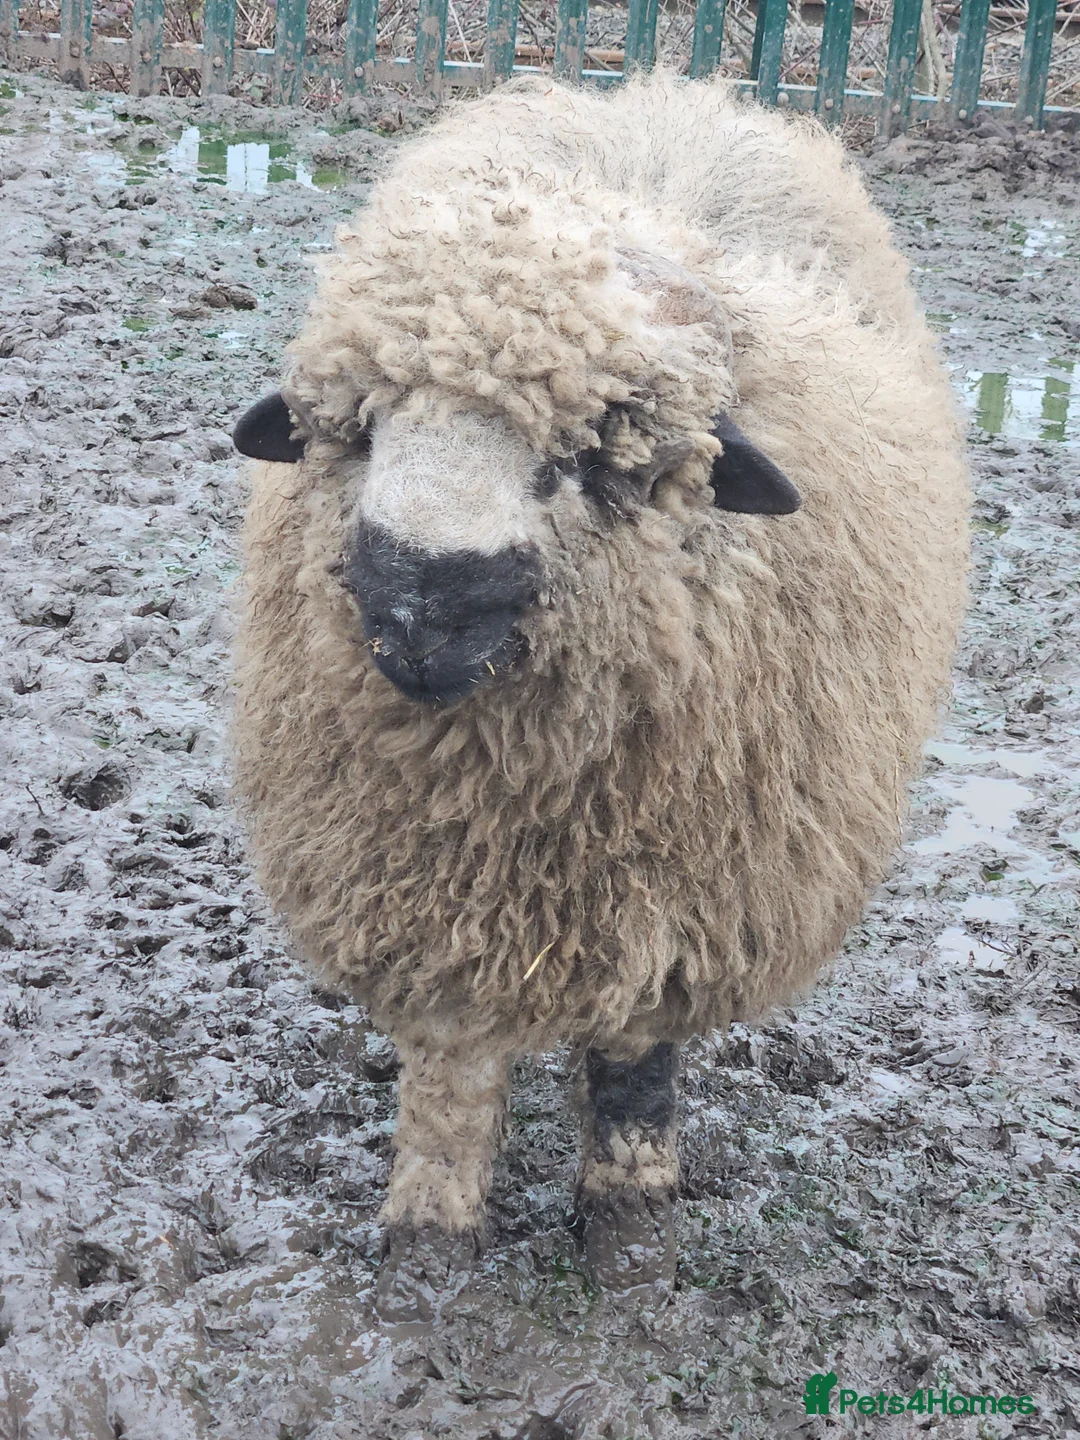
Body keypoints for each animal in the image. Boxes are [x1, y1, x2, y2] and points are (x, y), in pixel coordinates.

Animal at [231, 70, 969, 1315]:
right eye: (363, 431)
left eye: (581, 460)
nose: (417, 609)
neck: (514, 803)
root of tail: (670, 89)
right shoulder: (419, 883)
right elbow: (450, 1075)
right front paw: (428, 1254)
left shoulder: (681, 900)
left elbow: (634, 1074)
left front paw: (628, 1244)